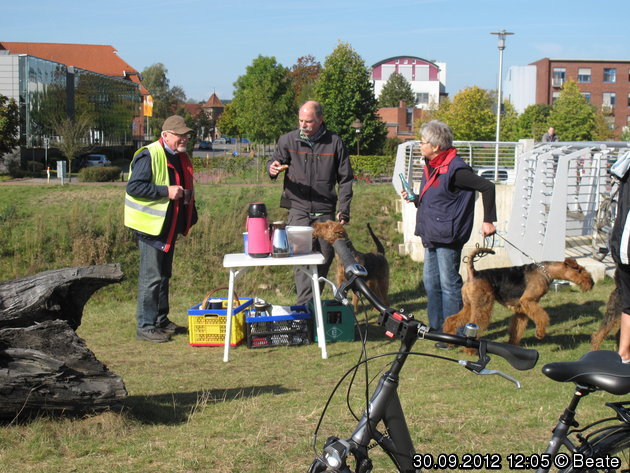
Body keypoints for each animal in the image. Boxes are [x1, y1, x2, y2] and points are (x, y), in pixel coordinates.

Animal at [442, 249, 596, 348]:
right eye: (580, 270)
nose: (592, 283)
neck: (546, 272)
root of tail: (473, 273)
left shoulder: (522, 309)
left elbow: (517, 327)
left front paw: (513, 344)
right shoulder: (527, 301)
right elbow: (542, 317)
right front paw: (540, 333)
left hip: (469, 305)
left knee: (451, 320)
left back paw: (449, 342)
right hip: (483, 306)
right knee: (474, 324)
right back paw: (469, 350)